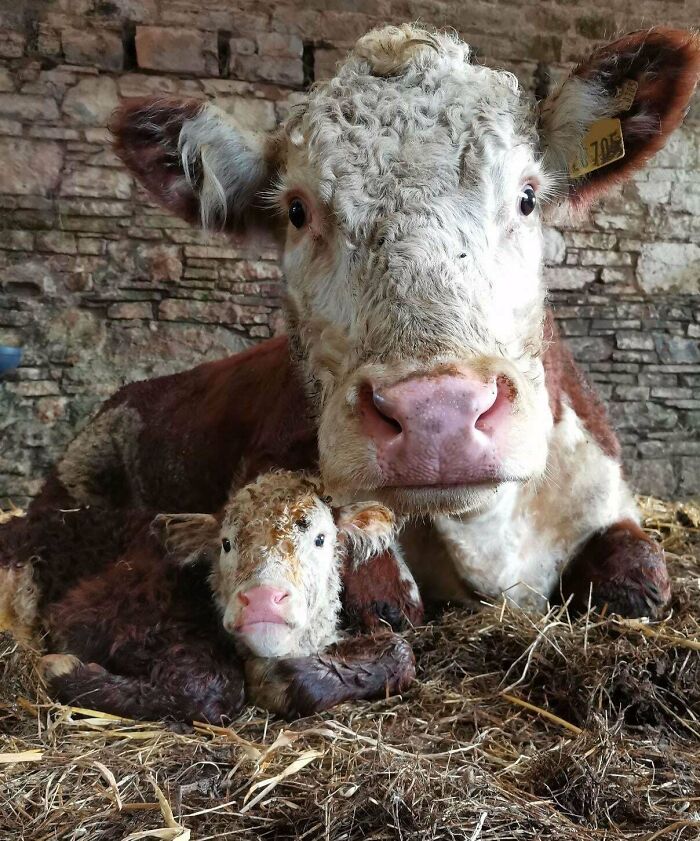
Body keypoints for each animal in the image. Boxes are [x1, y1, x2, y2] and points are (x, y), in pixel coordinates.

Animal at [2, 25, 699, 640]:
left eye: (527, 197)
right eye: (297, 211)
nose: (436, 413)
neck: (486, 532)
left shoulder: (611, 496)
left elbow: (639, 581)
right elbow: (382, 598)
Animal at [40, 471, 415, 722]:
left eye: (320, 539)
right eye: (226, 543)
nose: (262, 598)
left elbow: (402, 650)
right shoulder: (95, 617)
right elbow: (209, 689)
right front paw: (61, 669)